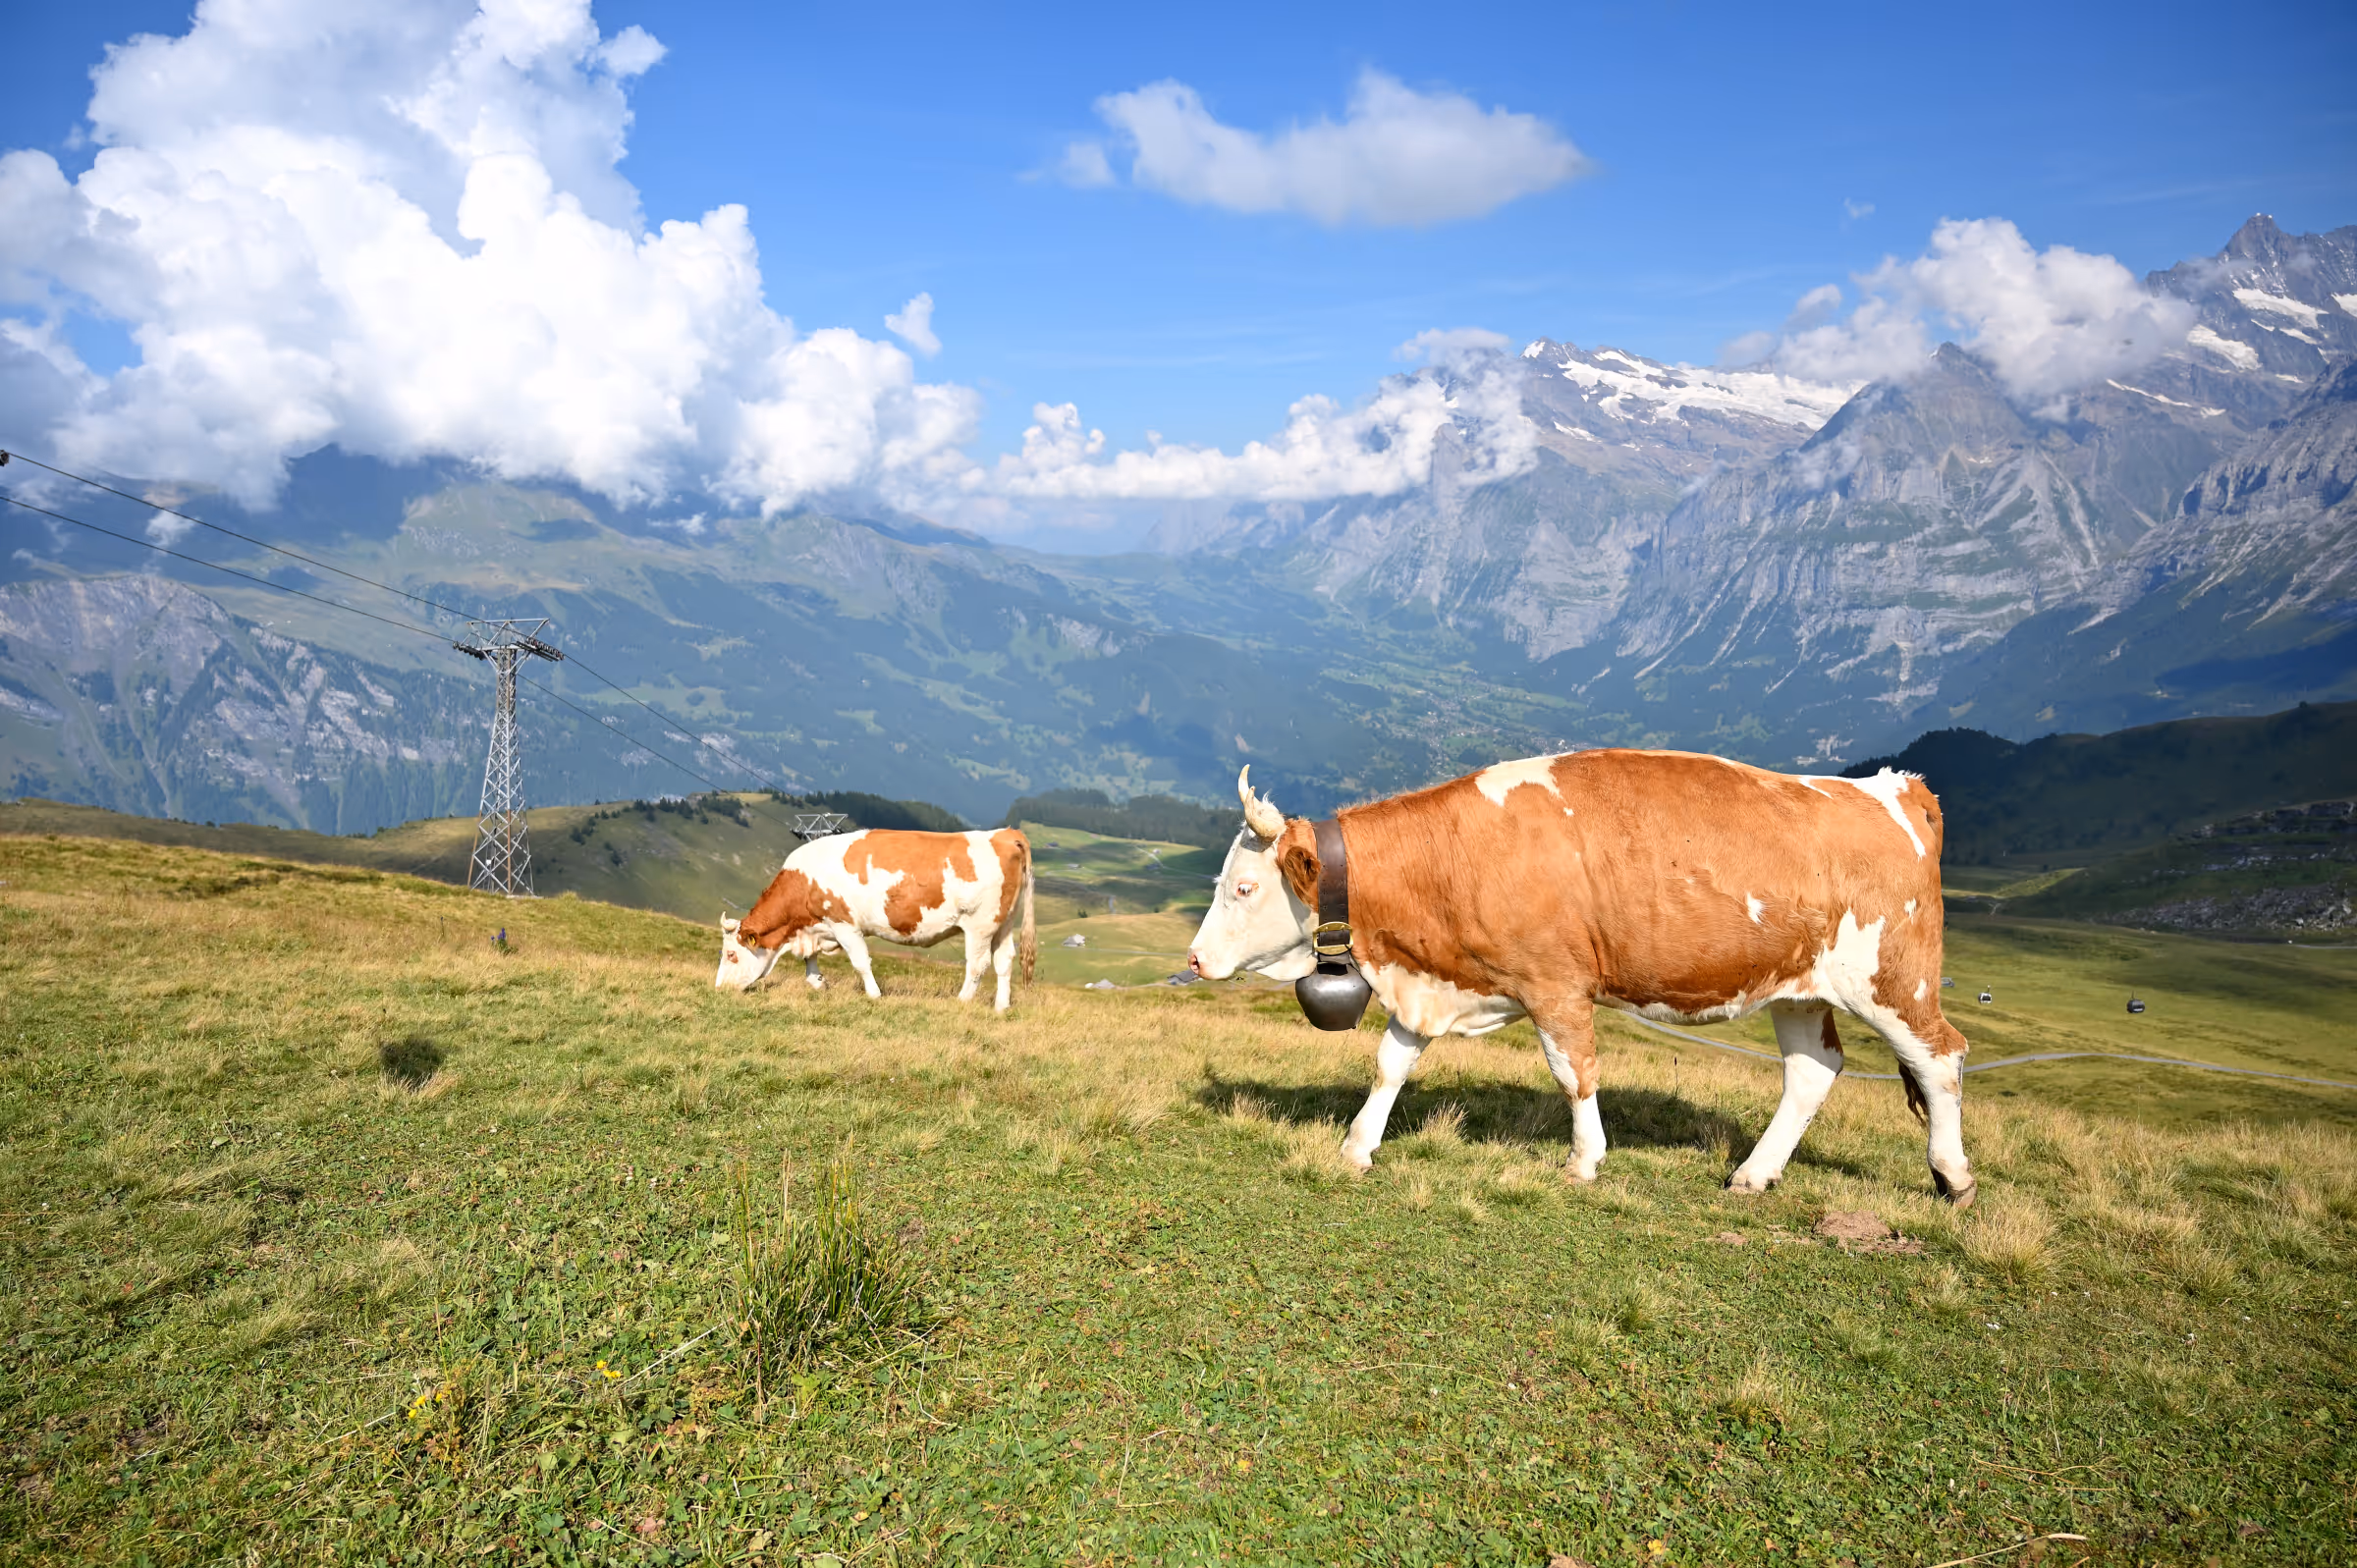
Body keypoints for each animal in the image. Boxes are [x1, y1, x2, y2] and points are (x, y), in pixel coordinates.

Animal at [717, 828, 1036, 1011]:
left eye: (731, 954)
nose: (719, 990)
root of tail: (1006, 833)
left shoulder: (844, 924)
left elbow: (860, 962)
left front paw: (874, 994)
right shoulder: (818, 926)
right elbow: (810, 960)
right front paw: (818, 982)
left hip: (979, 924)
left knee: (978, 964)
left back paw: (963, 1001)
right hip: (1003, 923)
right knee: (1004, 961)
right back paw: (1001, 1007)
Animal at [1185, 753, 1975, 1204]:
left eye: (1245, 888)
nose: (1194, 960)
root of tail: (1897, 789)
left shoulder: (1556, 985)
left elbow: (1574, 1072)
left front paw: (1585, 1160)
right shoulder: (1431, 983)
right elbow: (1390, 1064)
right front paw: (1357, 1146)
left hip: (1893, 981)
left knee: (1940, 1056)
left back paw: (1954, 1177)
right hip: (1800, 986)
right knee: (1812, 1069)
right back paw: (1754, 1174)